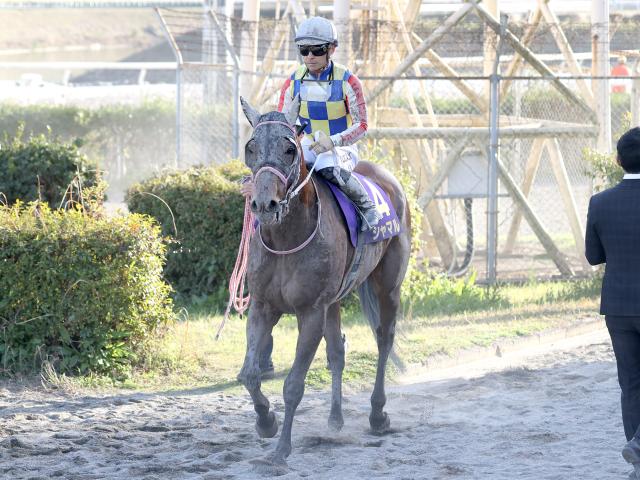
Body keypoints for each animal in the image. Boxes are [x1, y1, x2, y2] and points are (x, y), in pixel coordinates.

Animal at [237, 95, 412, 467]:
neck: (286, 239)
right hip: (336, 299)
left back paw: (377, 414)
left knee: (383, 340)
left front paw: (282, 449)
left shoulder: (311, 312)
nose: (264, 204)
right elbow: (249, 374)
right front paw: (266, 422)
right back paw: (335, 418)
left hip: (388, 286)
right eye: (250, 147)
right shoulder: (263, 307)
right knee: (337, 352)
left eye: (290, 148)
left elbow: (293, 385)